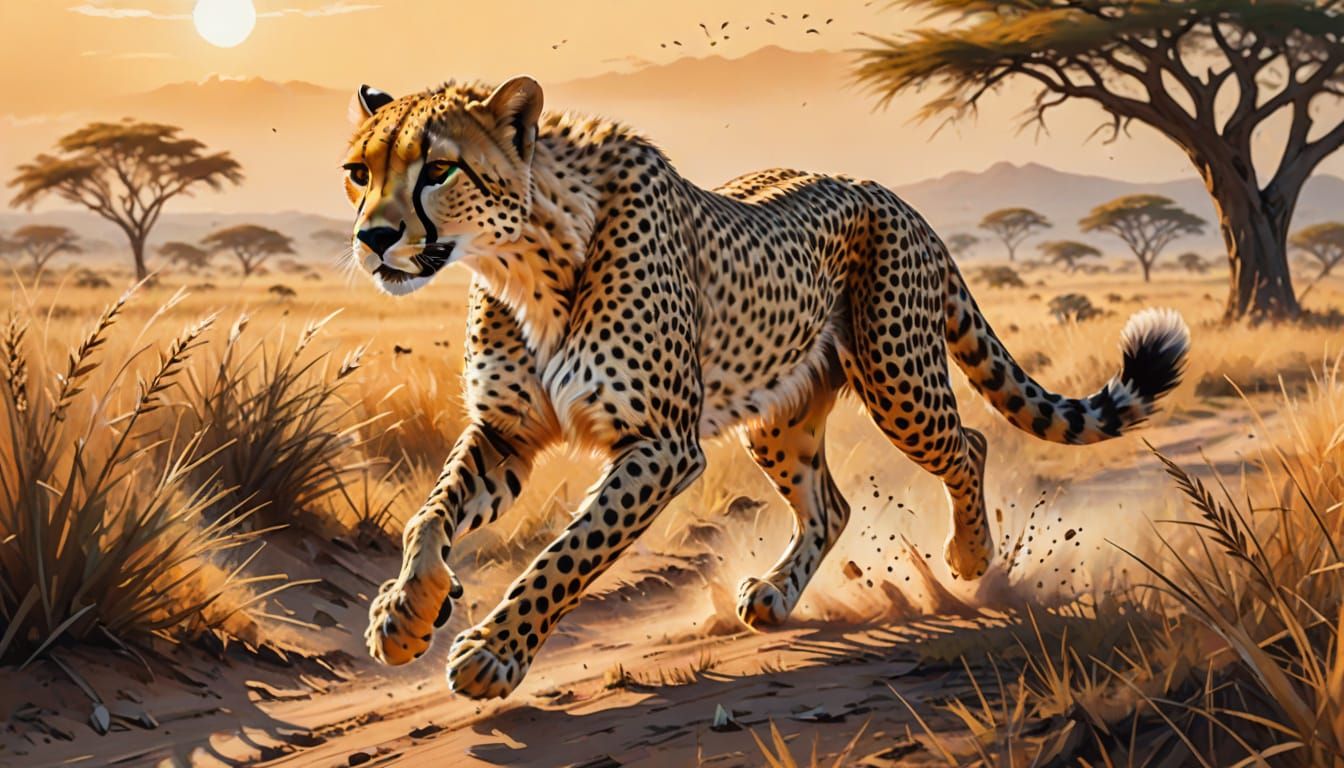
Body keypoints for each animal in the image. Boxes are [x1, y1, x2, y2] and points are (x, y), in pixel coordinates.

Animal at [340, 76, 1190, 700]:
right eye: (360, 172)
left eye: (439, 169)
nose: (373, 239)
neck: (521, 257)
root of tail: (891, 193)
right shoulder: (507, 432)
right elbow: (429, 515)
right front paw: (405, 616)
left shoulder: (662, 448)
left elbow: (568, 553)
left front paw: (492, 651)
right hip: (779, 418)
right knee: (831, 503)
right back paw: (779, 594)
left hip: (898, 380)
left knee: (969, 442)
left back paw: (973, 556)